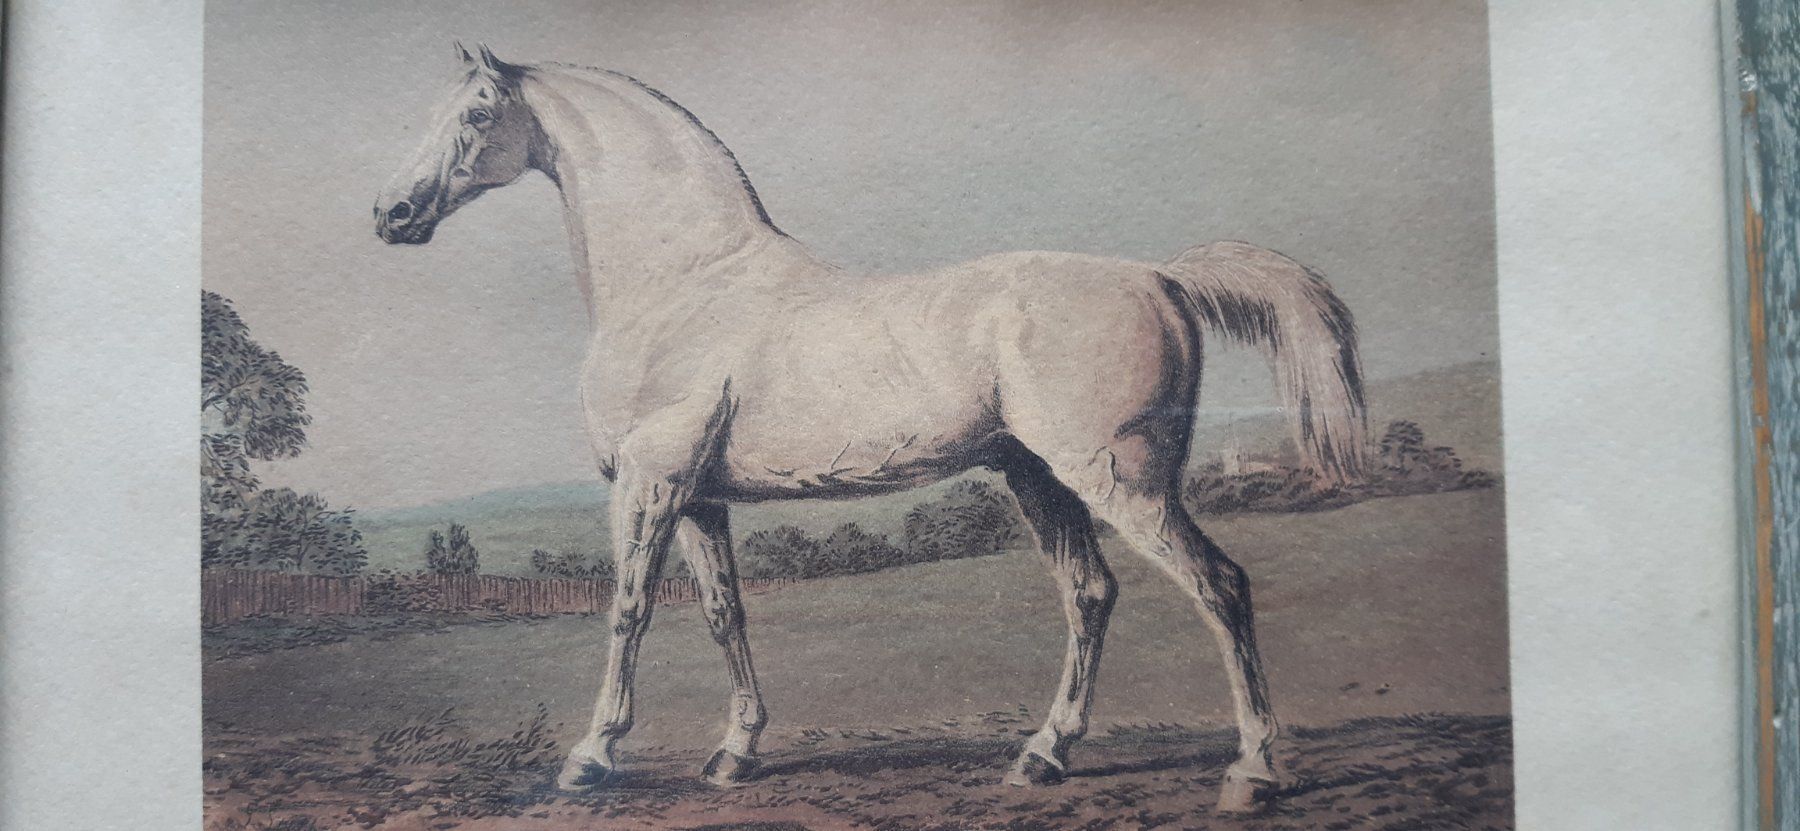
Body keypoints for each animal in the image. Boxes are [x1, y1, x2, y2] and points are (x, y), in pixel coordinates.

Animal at [373, 43, 1367, 815]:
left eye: (475, 113)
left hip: (1118, 477)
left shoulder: (651, 482)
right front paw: (735, 753)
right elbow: (724, 613)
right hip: (1039, 476)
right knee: (1089, 594)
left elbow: (627, 610)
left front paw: (589, 758)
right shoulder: (699, 499)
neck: (687, 281)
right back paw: (1041, 757)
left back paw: (1251, 773)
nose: (392, 214)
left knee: (1220, 586)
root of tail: (1158, 276)